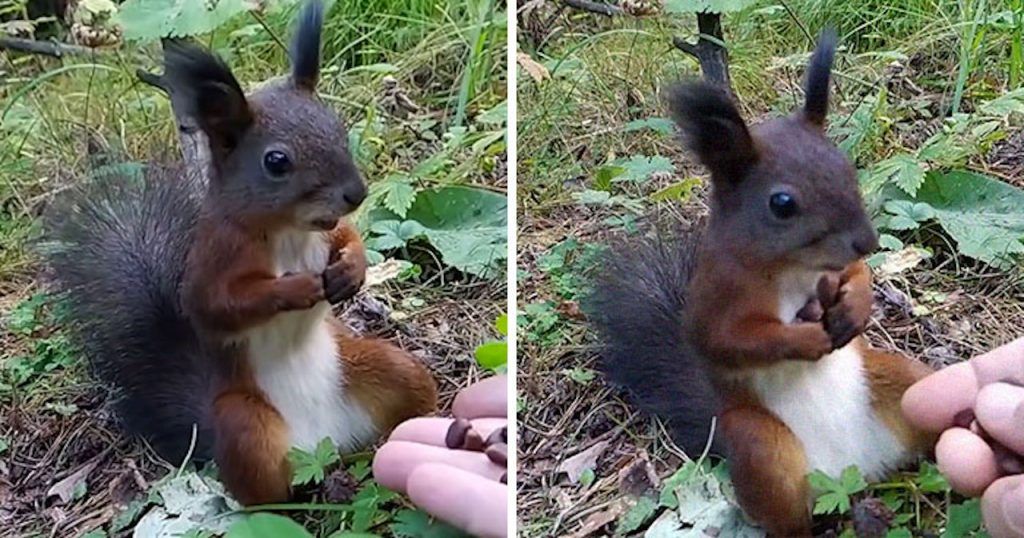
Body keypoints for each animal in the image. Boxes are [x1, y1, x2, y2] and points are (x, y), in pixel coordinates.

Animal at [43, 0, 436, 506]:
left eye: (338, 128)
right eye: (276, 161)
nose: (356, 193)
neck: (290, 231)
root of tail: (325, 443)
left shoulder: (328, 233)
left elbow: (348, 238)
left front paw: (350, 269)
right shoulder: (217, 255)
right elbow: (216, 305)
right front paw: (295, 288)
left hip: (385, 369)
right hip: (246, 427)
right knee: (269, 495)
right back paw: (315, 488)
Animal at [593, 30, 937, 536]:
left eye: (848, 168)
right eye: (782, 204)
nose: (867, 240)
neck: (795, 268)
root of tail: (851, 472)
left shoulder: (833, 270)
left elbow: (856, 275)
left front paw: (855, 304)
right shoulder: (717, 293)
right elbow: (730, 339)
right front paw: (805, 339)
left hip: (903, 384)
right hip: (761, 449)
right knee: (787, 516)